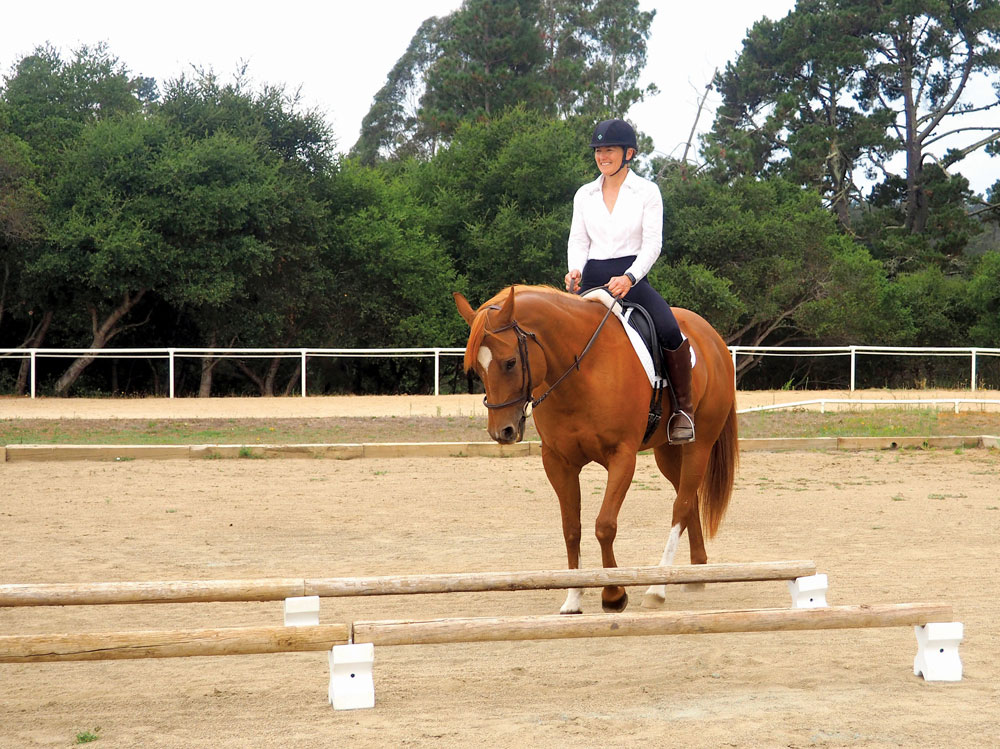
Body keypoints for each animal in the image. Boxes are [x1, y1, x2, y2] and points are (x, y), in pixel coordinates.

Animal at [458, 286, 740, 612]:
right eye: (477, 368)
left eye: (510, 362)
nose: (502, 432)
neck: (581, 371)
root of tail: (712, 336)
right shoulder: (558, 462)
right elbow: (571, 528)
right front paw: (573, 598)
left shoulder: (622, 457)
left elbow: (604, 525)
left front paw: (614, 594)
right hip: (668, 453)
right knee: (688, 499)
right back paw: (693, 574)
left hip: (699, 445)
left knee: (680, 506)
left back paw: (657, 588)